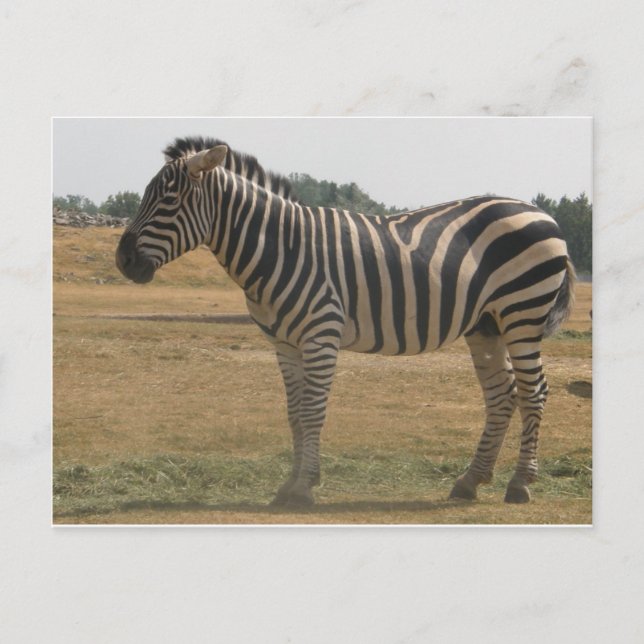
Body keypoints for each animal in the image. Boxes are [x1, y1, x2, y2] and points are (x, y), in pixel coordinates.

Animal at [116, 138, 575, 507]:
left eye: (169, 201)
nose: (123, 261)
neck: (280, 249)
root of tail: (538, 211)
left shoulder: (321, 334)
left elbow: (313, 411)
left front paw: (303, 488)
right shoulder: (284, 343)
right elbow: (294, 412)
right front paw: (291, 484)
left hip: (522, 313)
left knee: (534, 392)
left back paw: (519, 485)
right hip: (486, 324)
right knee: (502, 395)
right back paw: (470, 482)